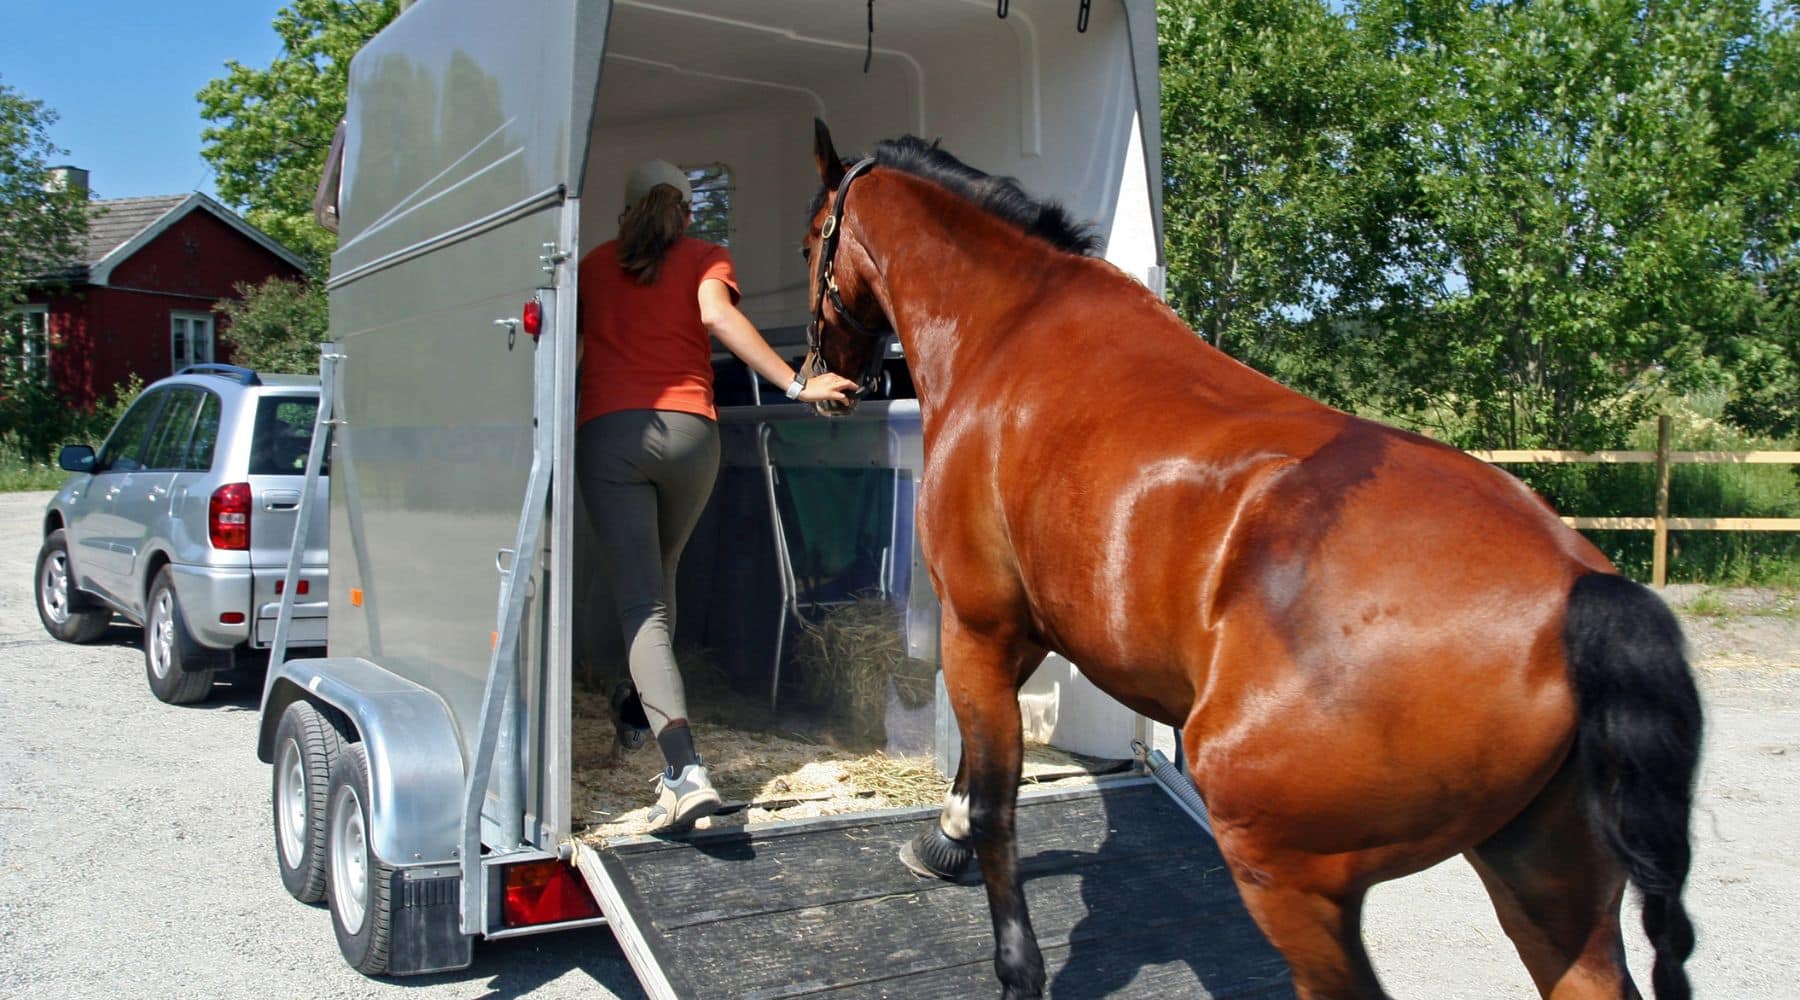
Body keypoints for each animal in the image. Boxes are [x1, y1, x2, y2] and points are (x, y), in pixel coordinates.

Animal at [797, 119, 1703, 1000]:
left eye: (811, 240)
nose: (822, 375)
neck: (1012, 327)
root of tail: (1583, 592)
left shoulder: (978, 623)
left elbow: (996, 803)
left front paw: (1016, 965)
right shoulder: (1024, 628)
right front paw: (940, 842)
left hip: (1291, 877)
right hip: (1549, 883)